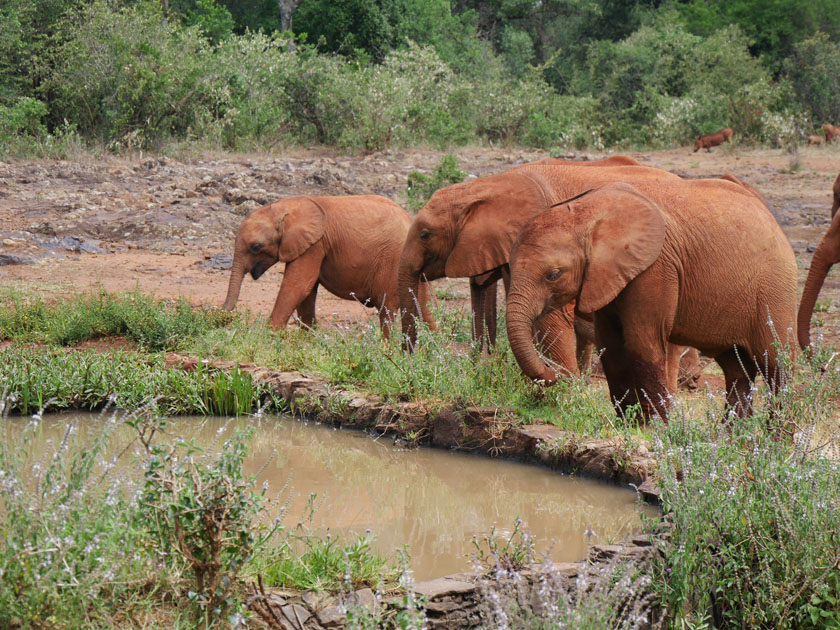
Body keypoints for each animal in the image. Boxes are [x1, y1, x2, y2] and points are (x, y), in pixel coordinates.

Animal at [220, 196, 436, 336]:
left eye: (255, 247)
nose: (221, 316)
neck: (284, 207)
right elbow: (307, 292)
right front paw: (306, 341)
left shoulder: (315, 245)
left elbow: (298, 285)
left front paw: (271, 337)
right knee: (423, 308)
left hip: (392, 260)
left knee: (387, 309)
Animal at [502, 178, 796, 422]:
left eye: (553, 275)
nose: (553, 375)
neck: (588, 212)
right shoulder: (606, 275)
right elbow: (612, 347)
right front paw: (630, 425)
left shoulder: (655, 269)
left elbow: (641, 344)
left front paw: (658, 429)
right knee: (737, 371)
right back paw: (734, 443)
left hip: (775, 289)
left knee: (777, 366)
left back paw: (778, 442)